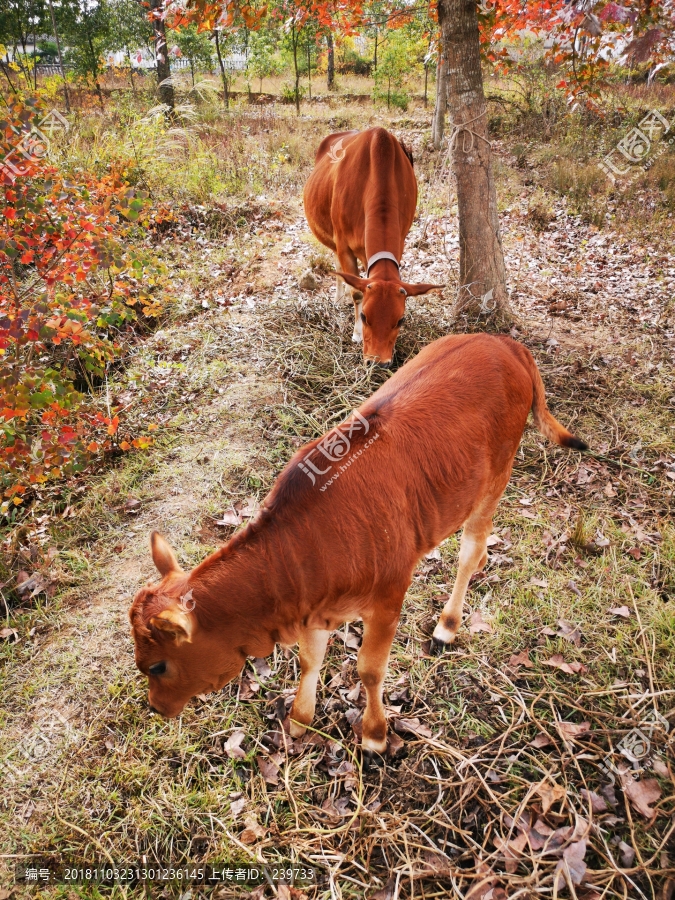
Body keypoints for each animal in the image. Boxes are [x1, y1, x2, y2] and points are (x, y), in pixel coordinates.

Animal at [131, 336, 588, 760]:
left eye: (157, 665)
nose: (154, 708)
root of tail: (505, 343)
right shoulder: (313, 607)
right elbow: (309, 660)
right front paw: (299, 721)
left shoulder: (387, 597)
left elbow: (369, 670)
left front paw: (374, 735)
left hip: (494, 480)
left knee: (469, 551)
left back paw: (448, 624)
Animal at [304, 126, 440, 366]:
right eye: (365, 316)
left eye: (401, 319)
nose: (378, 362)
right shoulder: (344, 245)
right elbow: (357, 292)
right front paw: (357, 333)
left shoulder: (400, 238)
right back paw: (338, 298)